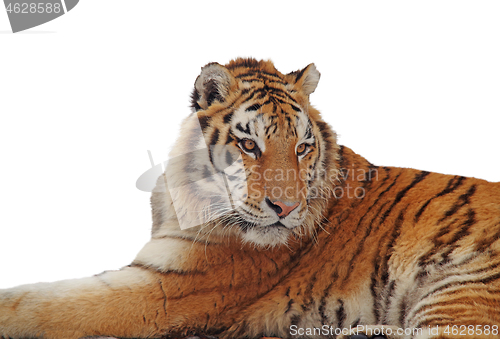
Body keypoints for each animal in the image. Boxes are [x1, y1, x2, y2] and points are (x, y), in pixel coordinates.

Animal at [0, 58, 500, 339]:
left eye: (302, 147)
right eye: (248, 145)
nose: (288, 209)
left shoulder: (166, 287)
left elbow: (43, 303)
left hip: (461, 287)